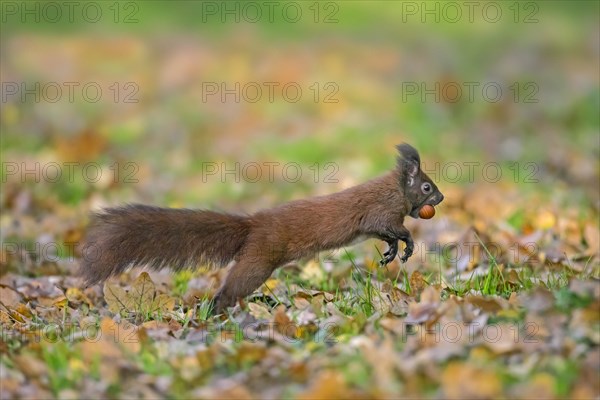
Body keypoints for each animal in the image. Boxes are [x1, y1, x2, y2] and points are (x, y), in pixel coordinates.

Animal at [79, 143, 442, 312]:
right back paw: (215, 312)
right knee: (231, 287)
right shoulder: (380, 212)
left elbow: (387, 235)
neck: (395, 191)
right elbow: (393, 227)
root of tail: (253, 224)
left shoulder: (380, 223)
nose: (441, 197)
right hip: (259, 261)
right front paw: (407, 246)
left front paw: (391, 253)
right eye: (426, 186)